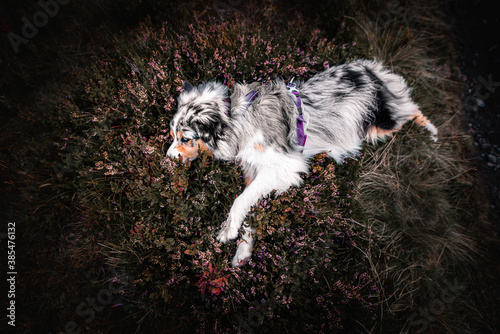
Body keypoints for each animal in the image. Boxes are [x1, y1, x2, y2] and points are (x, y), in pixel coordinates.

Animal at [166, 59, 436, 266]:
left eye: (185, 139)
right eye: (172, 135)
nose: (166, 161)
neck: (236, 118)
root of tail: (368, 69)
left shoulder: (285, 167)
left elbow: (239, 201)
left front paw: (227, 230)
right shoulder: (256, 172)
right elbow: (250, 207)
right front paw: (243, 252)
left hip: (382, 123)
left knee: (412, 109)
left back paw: (432, 134)